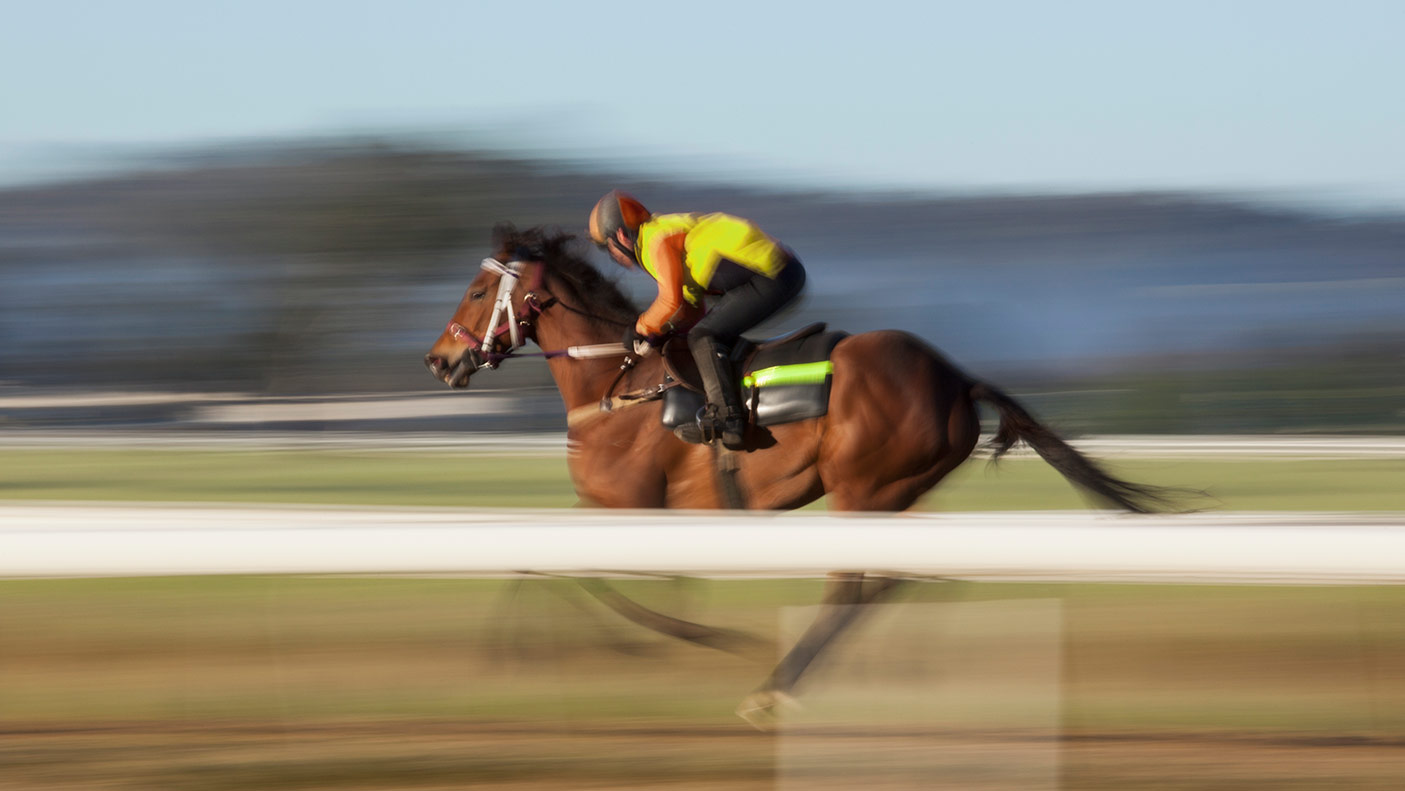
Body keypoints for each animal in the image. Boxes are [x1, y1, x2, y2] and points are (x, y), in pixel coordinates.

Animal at [421, 226, 1180, 724]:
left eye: (478, 289)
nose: (438, 360)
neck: (617, 383)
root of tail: (955, 376)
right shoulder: (613, 513)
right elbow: (534, 563)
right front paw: (513, 652)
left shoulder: (629, 509)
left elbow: (582, 576)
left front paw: (692, 640)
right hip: (898, 493)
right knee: (910, 575)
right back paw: (896, 671)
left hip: (862, 488)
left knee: (850, 586)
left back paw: (777, 687)